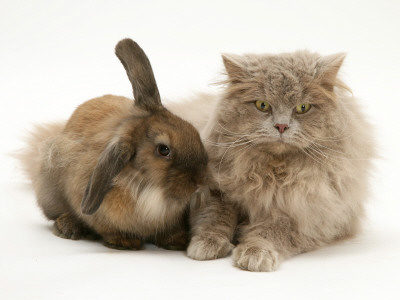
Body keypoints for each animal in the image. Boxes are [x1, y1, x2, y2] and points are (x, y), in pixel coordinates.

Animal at [21, 38, 209, 250]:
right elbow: (107, 228)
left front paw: (179, 241)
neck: (149, 189)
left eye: (192, 129)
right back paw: (69, 226)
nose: (200, 181)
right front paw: (125, 241)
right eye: (163, 150)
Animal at [167, 49, 374, 272]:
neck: (270, 173)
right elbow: (214, 217)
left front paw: (255, 254)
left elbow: (271, 231)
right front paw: (206, 244)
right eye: (262, 105)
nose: (281, 126)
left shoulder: (306, 216)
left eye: (302, 107)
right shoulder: (215, 192)